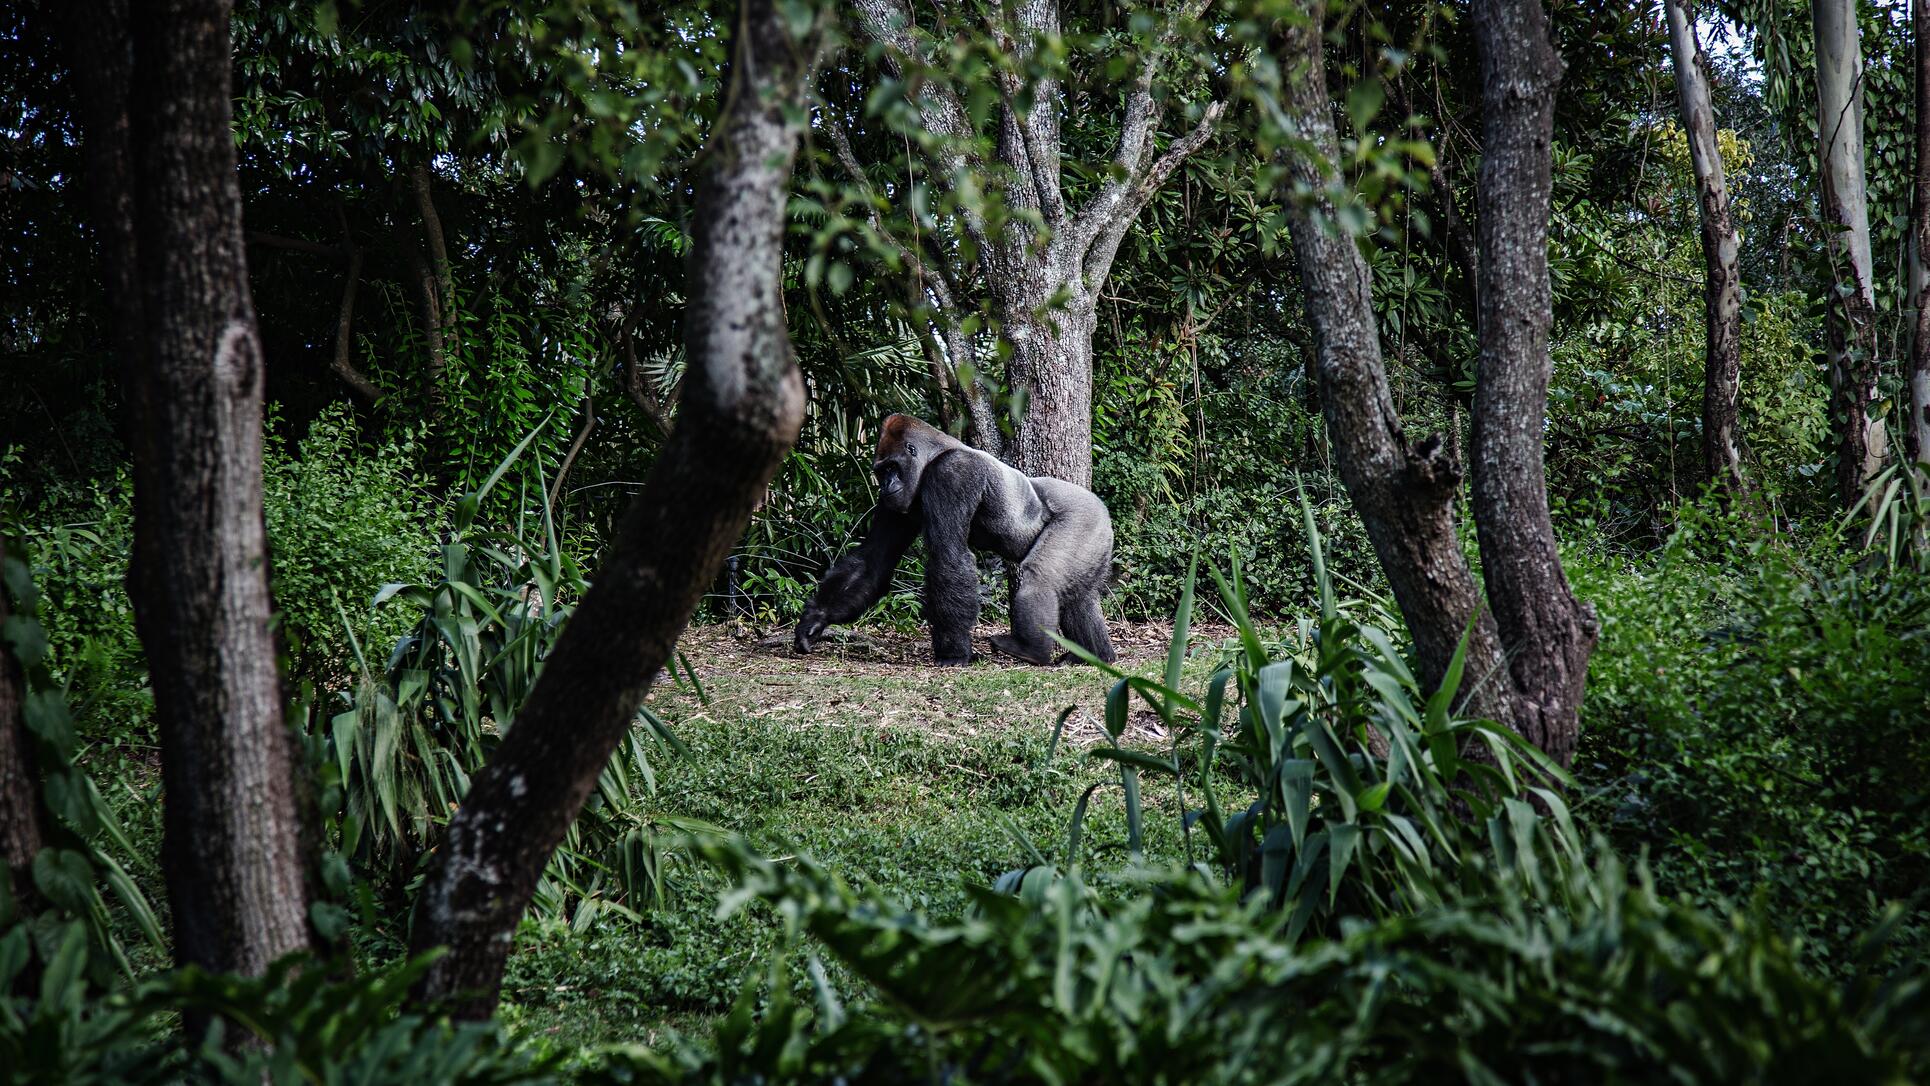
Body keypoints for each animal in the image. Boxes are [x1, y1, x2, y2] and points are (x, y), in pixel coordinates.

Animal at [792, 414, 1116, 666]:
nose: (886, 485)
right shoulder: (896, 503)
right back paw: (1095, 655)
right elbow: (873, 560)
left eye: (892, 468)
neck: (935, 453)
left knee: (1041, 576)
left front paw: (954, 653)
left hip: (1084, 516)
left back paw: (1032, 650)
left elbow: (947, 556)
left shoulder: (952, 473)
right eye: (881, 471)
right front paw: (816, 619)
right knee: (1078, 596)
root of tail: (1102, 508)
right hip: (1096, 535)